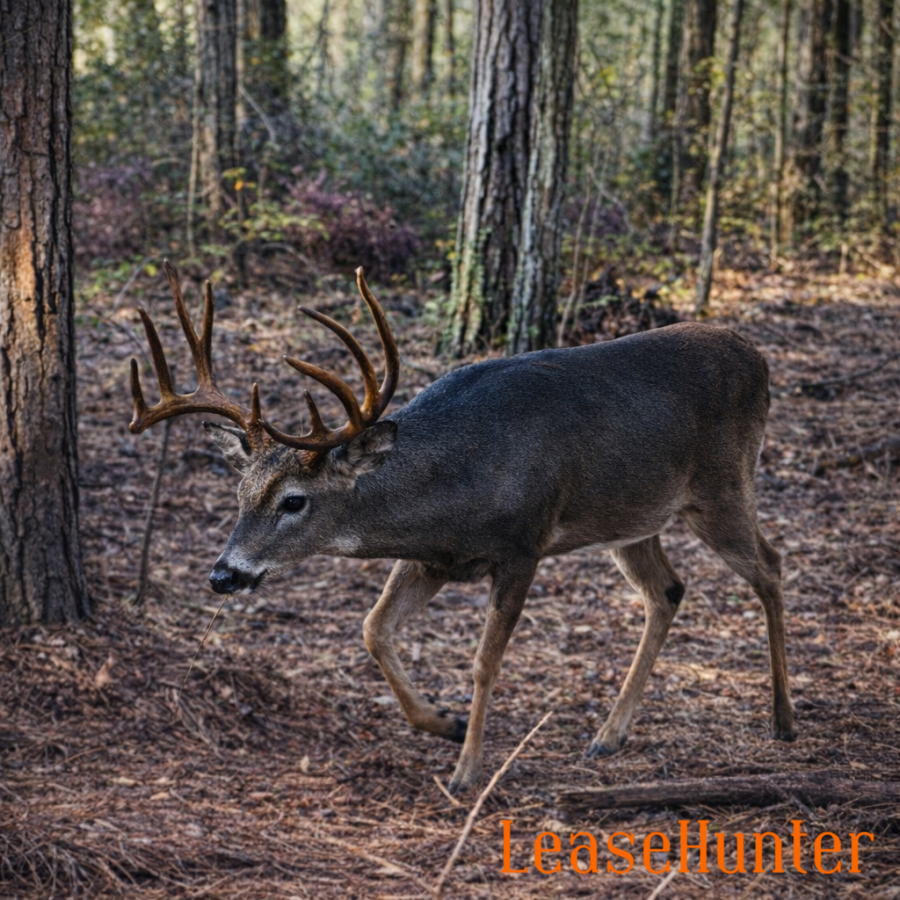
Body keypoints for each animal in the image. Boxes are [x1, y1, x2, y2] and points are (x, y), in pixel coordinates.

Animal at [128, 261, 796, 794]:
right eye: (241, 494)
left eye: (293, 501)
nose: (223, 574)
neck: (455, 484)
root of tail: (758, 357)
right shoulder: (434, 558)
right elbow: (373, 629)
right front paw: (444, 724)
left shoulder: (523, 544)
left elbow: (483, 662)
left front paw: (467, 771)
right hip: (634, 519)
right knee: (668, 589)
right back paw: (608, 735)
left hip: (722, 486)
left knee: (770, 565)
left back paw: (783, 719)